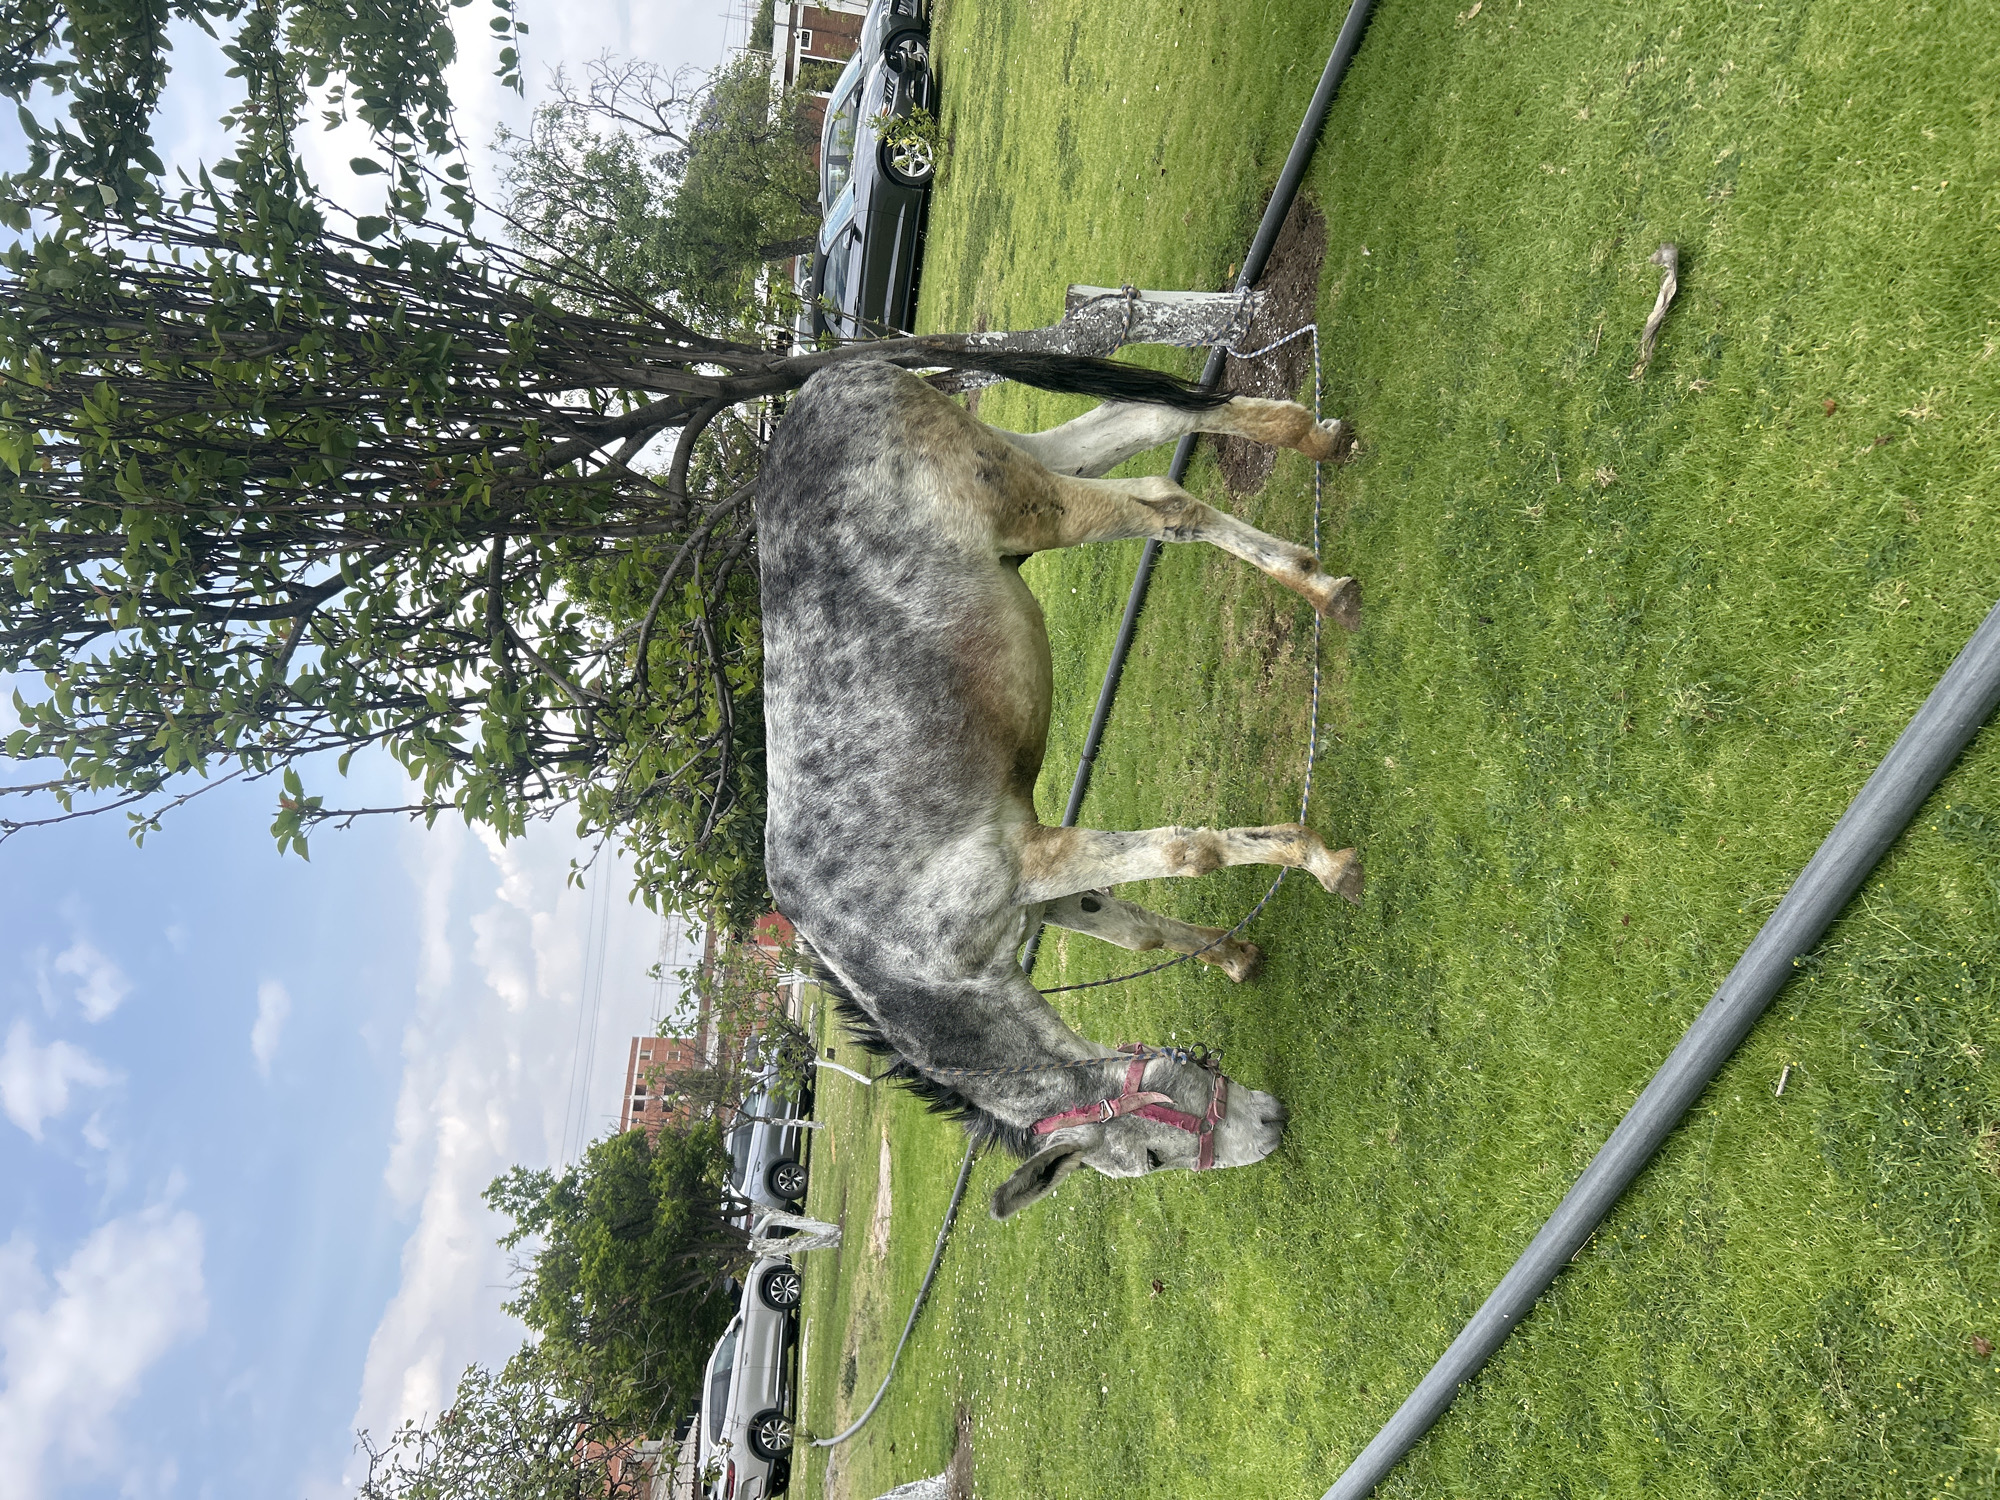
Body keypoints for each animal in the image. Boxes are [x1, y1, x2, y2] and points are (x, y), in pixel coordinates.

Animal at [758, 353, 1363, 1219]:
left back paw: (1320, 586)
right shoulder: (1047, 893)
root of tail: (832, 378)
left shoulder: (1034, 861)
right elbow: (1142, 932)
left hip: (1035, 505)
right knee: (1150, 421)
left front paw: (1321, 862)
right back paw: (1311, 444)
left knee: (1163, 501)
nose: (1272, 1127)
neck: (904, 958)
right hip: (1026, 456)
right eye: (1151, 1160)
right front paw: (1235, 955)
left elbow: (1186, 854)